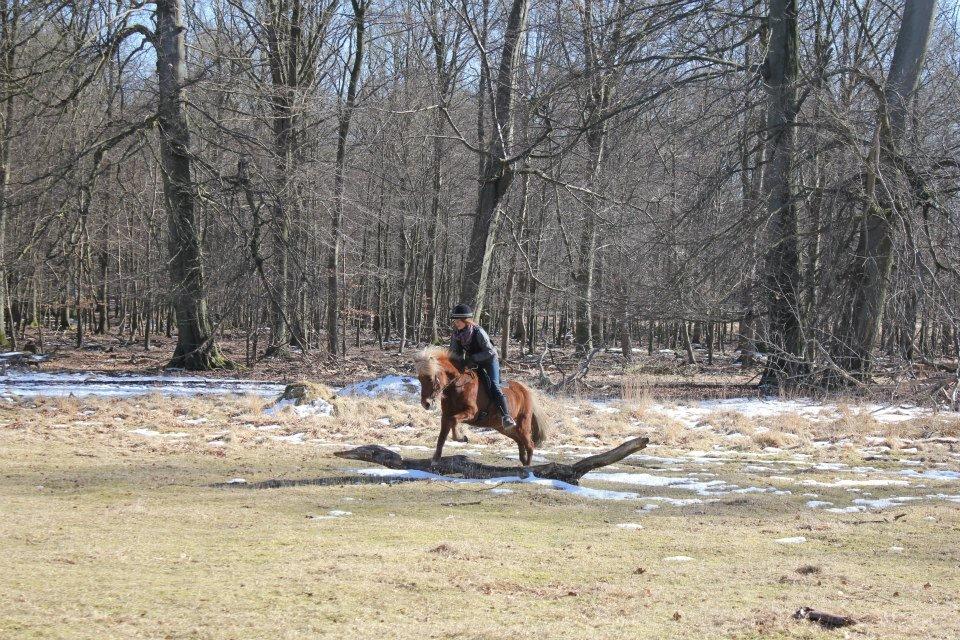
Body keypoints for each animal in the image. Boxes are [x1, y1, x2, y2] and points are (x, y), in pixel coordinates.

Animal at [414, 346, 548, 466]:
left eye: (430, 378)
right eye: (419, 379)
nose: (426, 404)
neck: (458, 385)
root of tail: (525, 390)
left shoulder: (471, 412)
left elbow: (454, 420)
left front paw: (461, 438)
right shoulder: (445, 416)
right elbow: (442, 437)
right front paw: (435, 459)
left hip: (523, 424)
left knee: (529, 444)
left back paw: (528, 466)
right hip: (502, 427)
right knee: (519, 441)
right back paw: (523, 461)